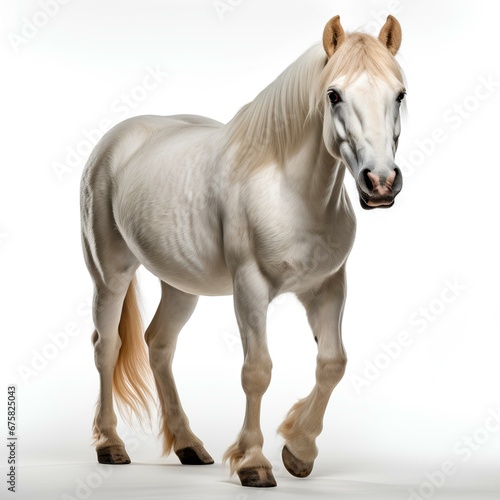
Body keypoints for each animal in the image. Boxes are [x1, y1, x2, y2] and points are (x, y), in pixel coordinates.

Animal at [79, 13, 406, 486]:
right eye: (333, 94)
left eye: (400, 93)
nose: (380, 183)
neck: (290, 190)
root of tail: (115, 140)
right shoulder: (250, 287)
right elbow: (257, 371)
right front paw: (253, 461)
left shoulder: (327, 287)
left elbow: (332, 363)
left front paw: (298, 449)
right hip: (109, 274)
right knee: (106, 346)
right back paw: (110, 444)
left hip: (182, 285)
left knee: (158, 345)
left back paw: (189, 445)